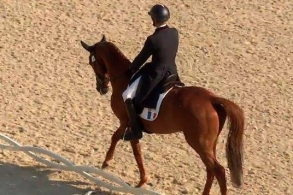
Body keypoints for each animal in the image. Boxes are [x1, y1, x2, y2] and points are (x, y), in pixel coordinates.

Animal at [78, 35, 243, 195]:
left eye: (91, 63)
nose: (101, 88)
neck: (124, 79)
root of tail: (211, 98)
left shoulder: (125, 121)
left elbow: (115, 138)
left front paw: (106, 162)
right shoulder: (133, 127)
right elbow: (137, 151)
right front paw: (142, 181)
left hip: (199, 142)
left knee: (218, 170)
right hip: (210, 144)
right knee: (211, 171)